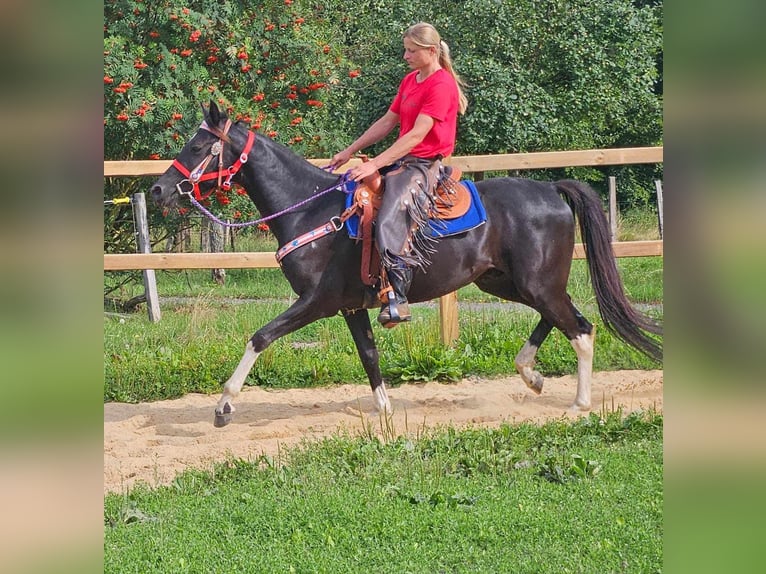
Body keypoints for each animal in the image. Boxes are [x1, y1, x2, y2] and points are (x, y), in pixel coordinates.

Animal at [152, 102, 664, 428]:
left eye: (197, 146)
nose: (158, 189)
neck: (311, 210)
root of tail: (552, 190)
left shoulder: (317, 301)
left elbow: (259, 337)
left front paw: (224, 406)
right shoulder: (350, 306)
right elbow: (369, 356)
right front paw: (384, 411)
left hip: (537, 283)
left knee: (579, 328)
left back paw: (579, 403)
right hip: (507, 283)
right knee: (563, 319)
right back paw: (532, 375)